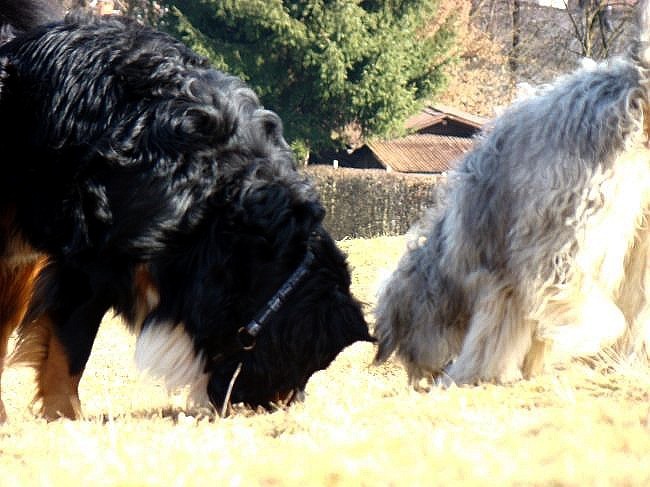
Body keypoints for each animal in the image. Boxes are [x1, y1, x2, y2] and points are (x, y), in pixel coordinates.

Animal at [372, 0, 648, 388]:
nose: (417, 381)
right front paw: (532, 366)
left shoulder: (498, 275)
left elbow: (495, 331)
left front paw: (472, 374)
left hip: (571, 214)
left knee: (565, 280)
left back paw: (595, 331)